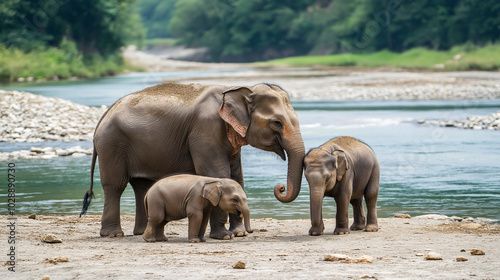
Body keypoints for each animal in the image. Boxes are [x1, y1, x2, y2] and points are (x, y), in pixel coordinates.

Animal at [80, 82, 306, 238]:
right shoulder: (205, 131)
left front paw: (239, 233)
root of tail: (104, 114)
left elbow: (236, 177)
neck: (235, 88)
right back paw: (113, 234)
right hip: (112, 144)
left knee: (142, 185)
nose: (280, 188)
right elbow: (218, 174)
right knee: (115, 185)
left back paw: (141, 232)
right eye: (276, 123)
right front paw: (224, 237)